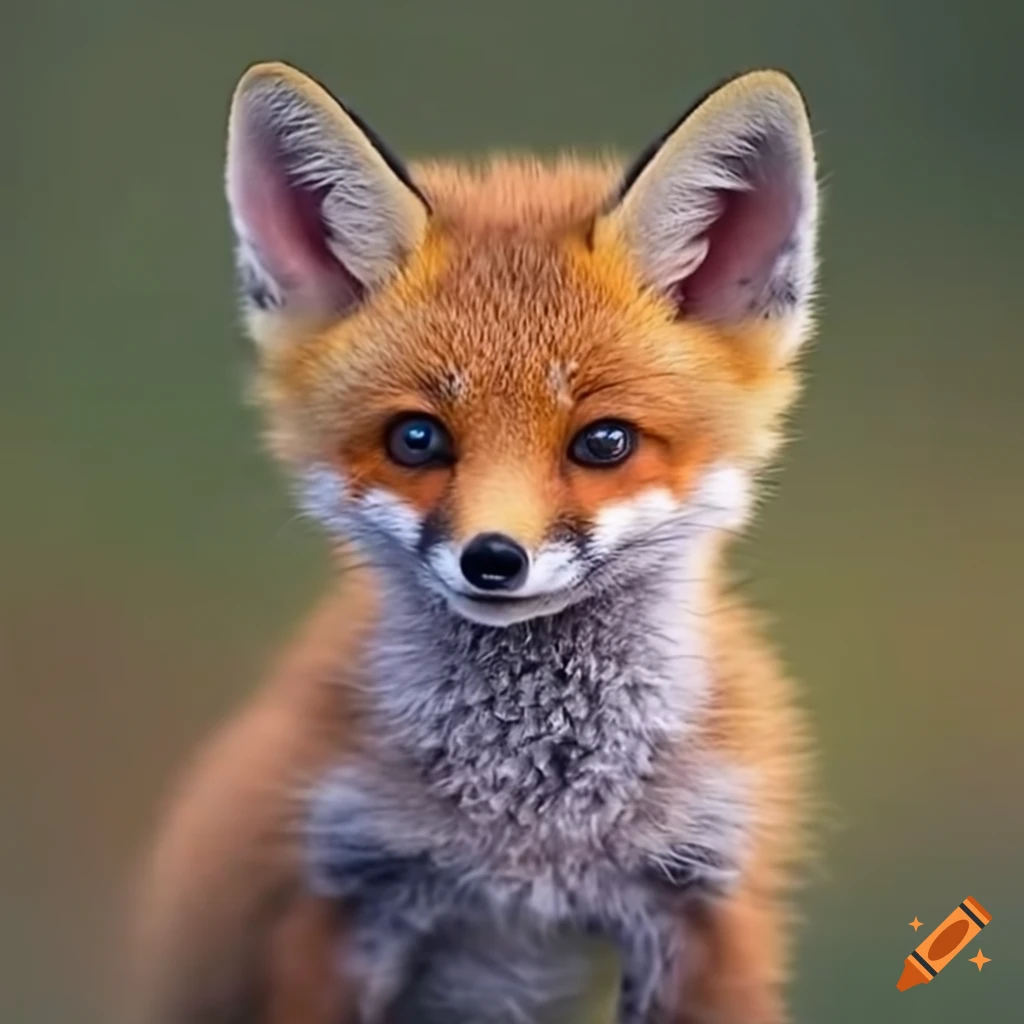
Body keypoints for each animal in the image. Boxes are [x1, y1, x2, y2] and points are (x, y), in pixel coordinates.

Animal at [129, 60, 821, 1024]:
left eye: (604, 442)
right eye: (417, 439)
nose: (494, 558)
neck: (529, 822)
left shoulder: (708, 909)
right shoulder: (337, 901)